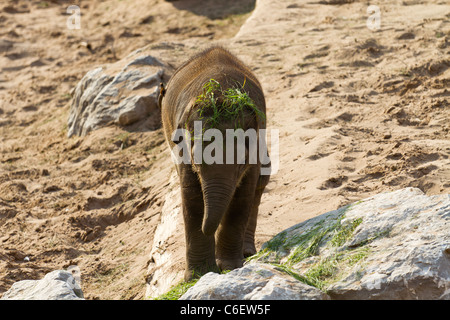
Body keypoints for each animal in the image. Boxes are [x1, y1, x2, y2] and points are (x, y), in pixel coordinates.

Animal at [160, 45, 268, 280]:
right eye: (197, 163)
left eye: (241, 163)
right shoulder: (182, 150)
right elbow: (191, 197)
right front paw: (198, 275)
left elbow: (243, 196)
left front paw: (229, 267)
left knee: (261, 181)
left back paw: (246, 252)